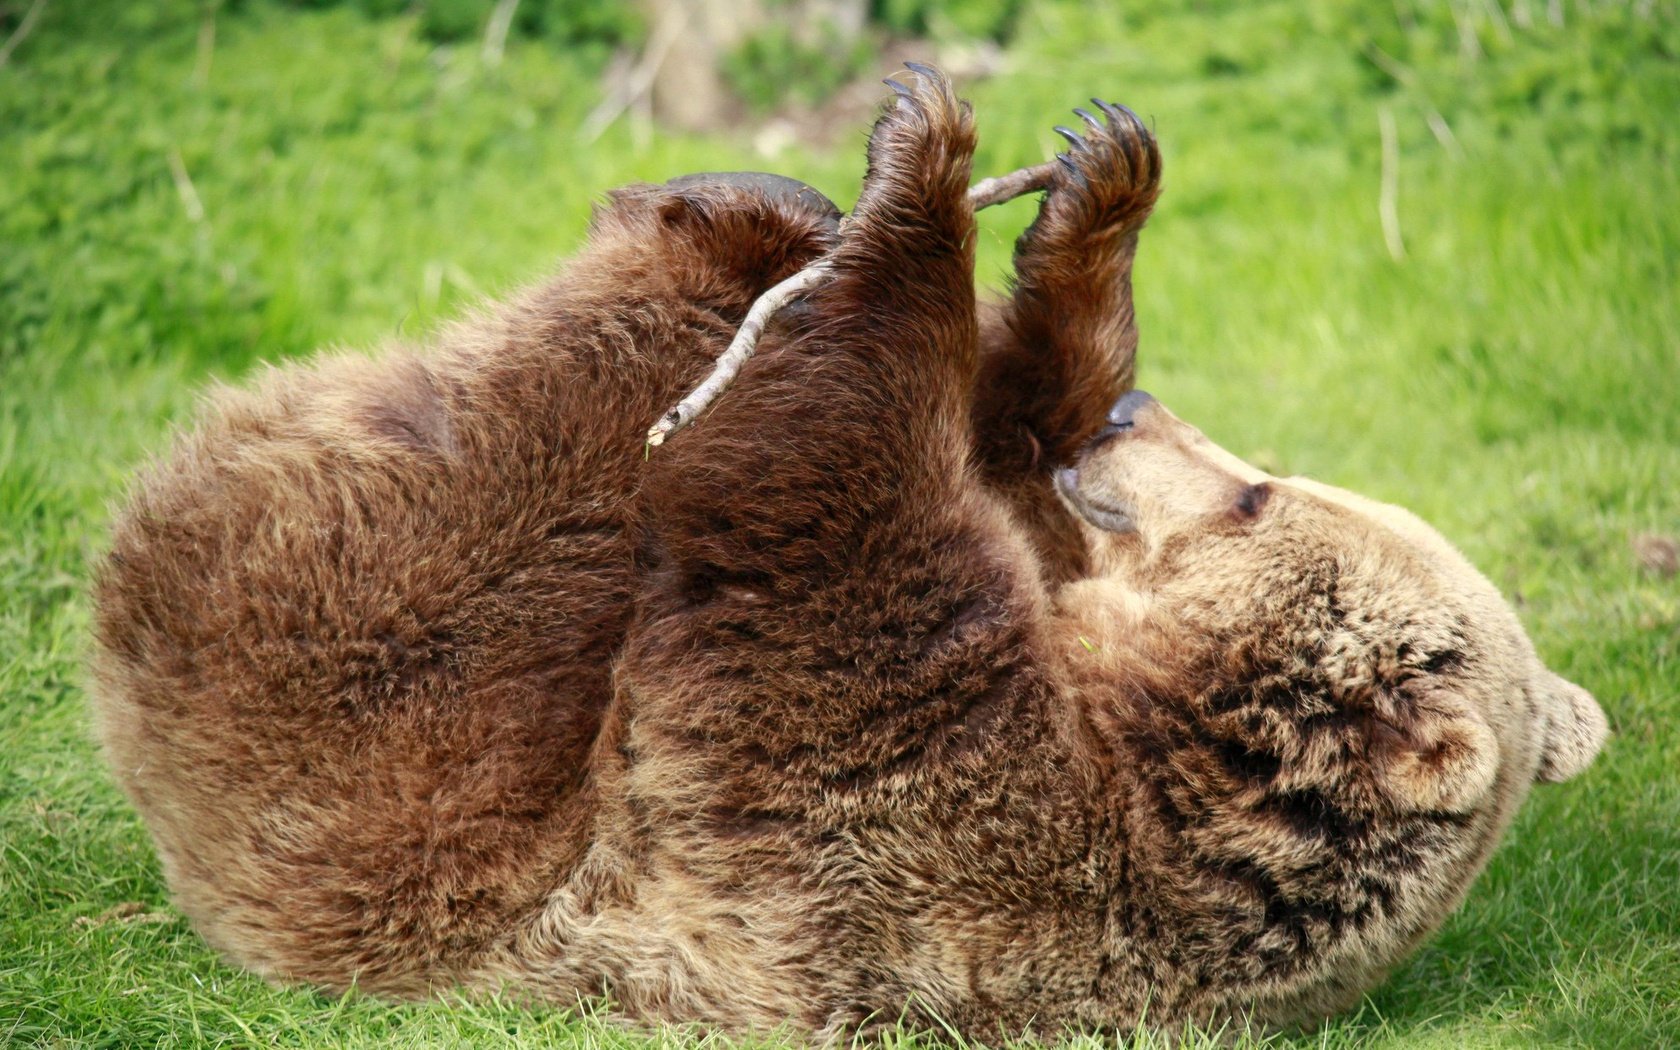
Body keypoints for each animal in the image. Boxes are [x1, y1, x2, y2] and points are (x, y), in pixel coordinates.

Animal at [90, 66, 1607, 1040]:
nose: (1135, 419)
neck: (1143, 734)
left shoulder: (908, 814)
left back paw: (728, 222)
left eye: (1256, 495)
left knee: (539, 465)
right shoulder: (1037, 602)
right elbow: (996, 442)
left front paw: (925, 166)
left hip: (378, 727)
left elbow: (814, 502)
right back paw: (760, 200)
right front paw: (1095, 192)